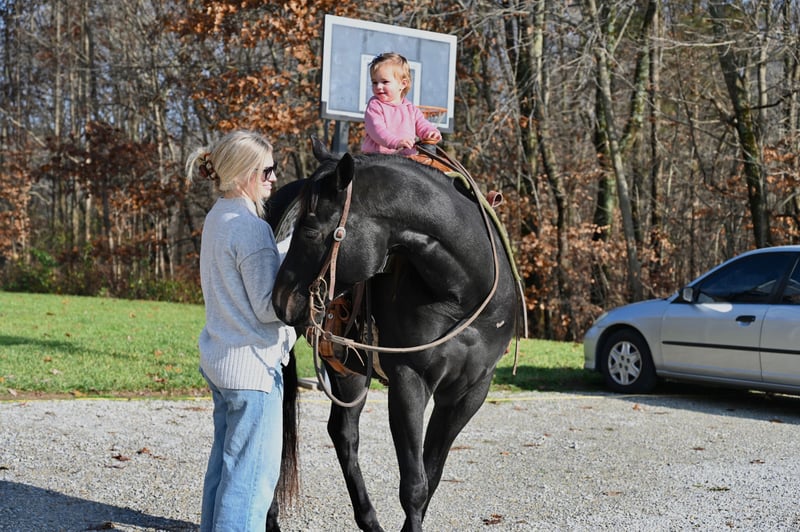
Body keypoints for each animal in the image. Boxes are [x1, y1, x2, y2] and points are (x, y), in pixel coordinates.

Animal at [269, 138, 519, 532]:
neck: (463, 291)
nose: (281, 299)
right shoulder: (409, 381)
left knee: (344, 433)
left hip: (350, 367)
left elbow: (431, 476)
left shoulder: (470, 391)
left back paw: (369, 521)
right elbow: (414, 484)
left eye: (309, 230)